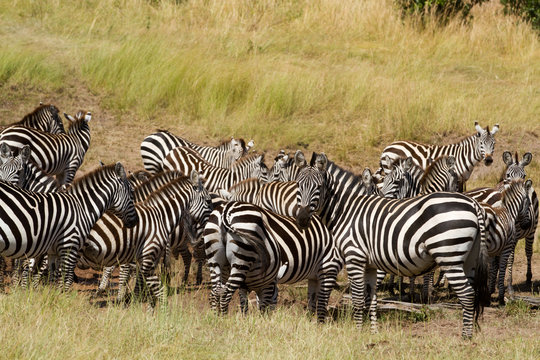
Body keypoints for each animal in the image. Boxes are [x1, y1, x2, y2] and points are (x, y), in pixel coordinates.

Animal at [0, 163, 138, 290]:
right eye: (132, 193)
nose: (135, 221)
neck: (82, 208)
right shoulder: (69, 246)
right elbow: (66, 279)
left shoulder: (52, 251)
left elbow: (53, 277)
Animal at [80, 171, 211, 306]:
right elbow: (123, 269)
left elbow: (126, 270)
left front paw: (127, 295)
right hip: (182, 242)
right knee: (189, 256)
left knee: (199, 255)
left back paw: (195, 279)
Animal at [202, 201, 338, 320]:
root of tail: (227, 208)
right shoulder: (329, 267)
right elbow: (263, 307)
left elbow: (247, 306)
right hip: (240, 261)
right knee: (225, 294)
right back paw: (224, 320)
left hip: (215, 260)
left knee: (215, 293)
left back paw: (216, 319)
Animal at [296, 152, 490, 338]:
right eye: (298, 186)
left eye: (318, 187)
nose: (302, 219)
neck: (348, 210)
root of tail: (473, 204)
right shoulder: (370, 265)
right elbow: (371, 298)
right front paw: (372, 331)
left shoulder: (354, 258)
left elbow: (358, 299)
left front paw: (358, 331)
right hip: (469, 259)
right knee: (472, 293)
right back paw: (468, 332)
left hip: (449, 257)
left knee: (467, 294)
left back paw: (465, 337)